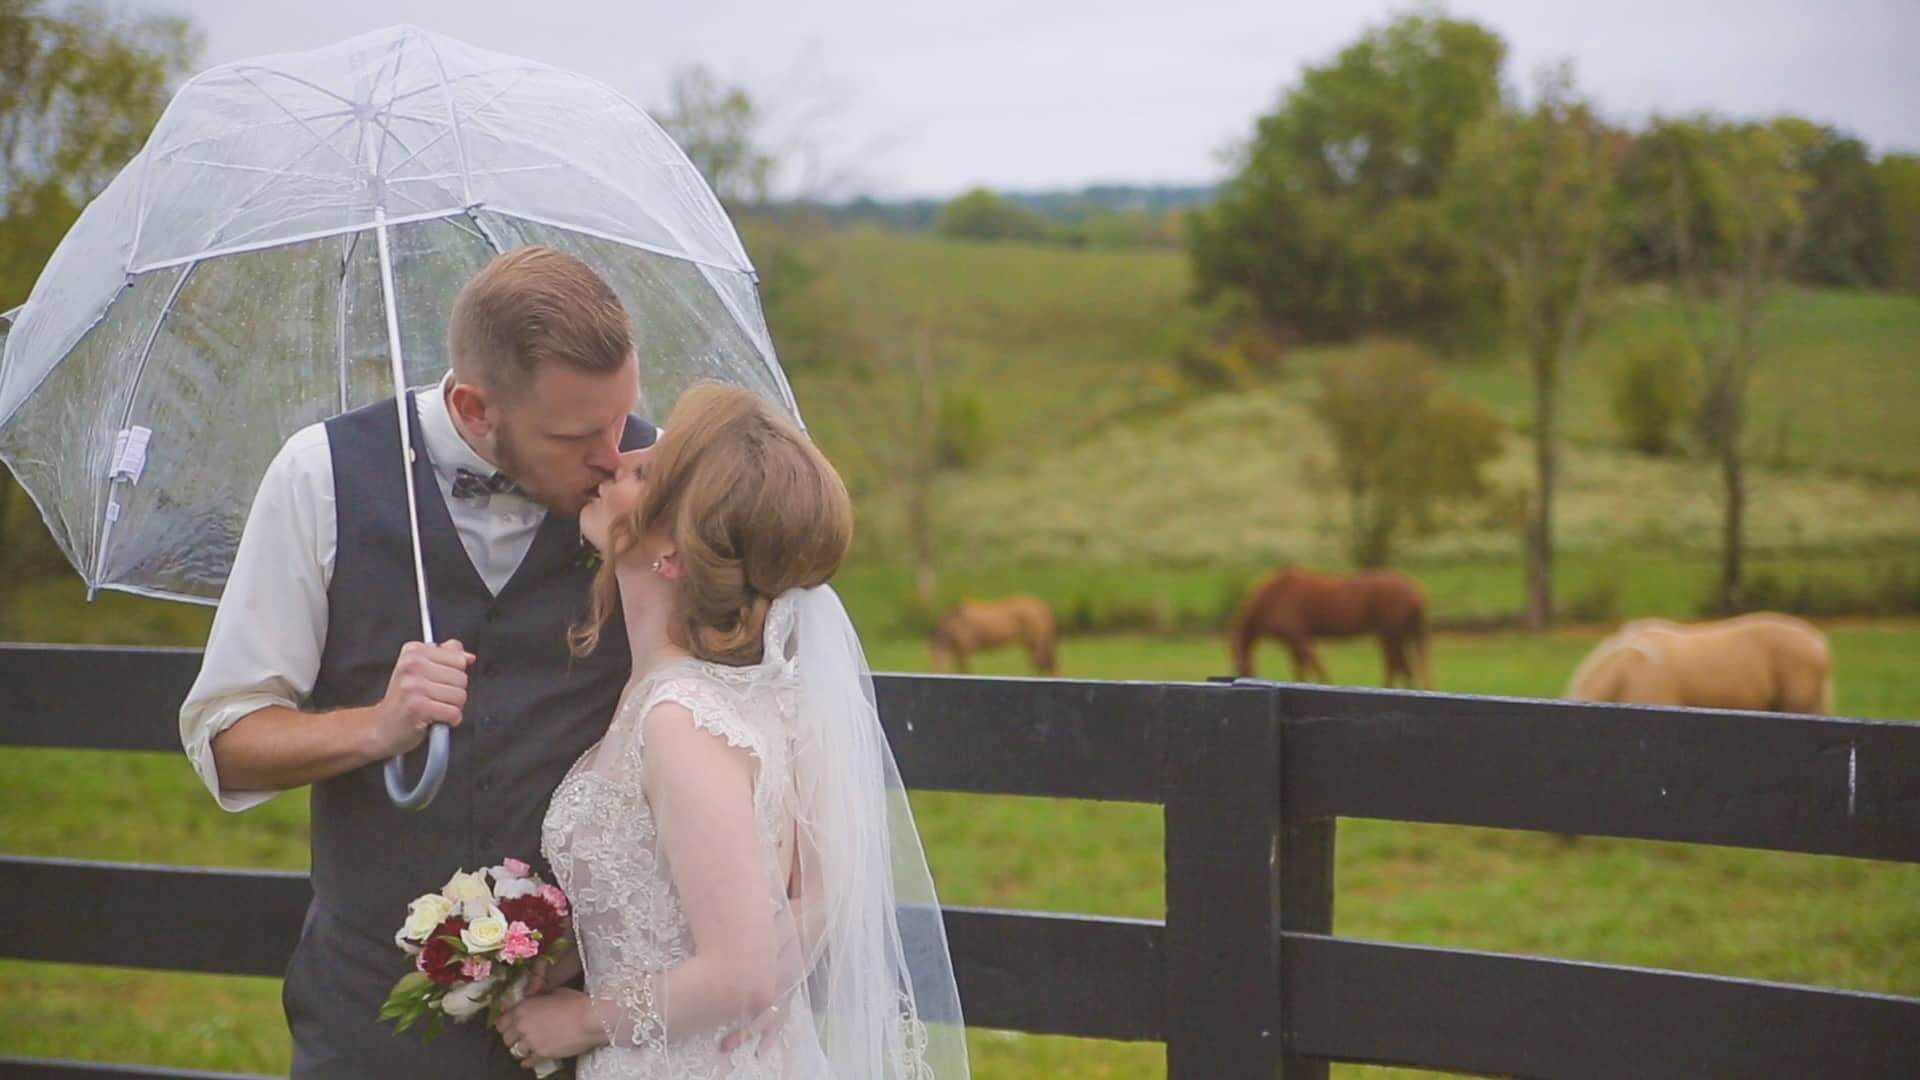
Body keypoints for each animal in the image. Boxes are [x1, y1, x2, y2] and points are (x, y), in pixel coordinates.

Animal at [929, 588, 1067, 672]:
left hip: (1034, 642)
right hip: (1033, 643)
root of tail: (1039, 605)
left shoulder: (965, 651)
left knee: (1040, 663)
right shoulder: (959, 653)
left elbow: (966, 671)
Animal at [1228, 568, 1428, 684]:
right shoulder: (1292, 644)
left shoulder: (1299, 639)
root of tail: (1414, 591)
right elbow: (1300, 670)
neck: (1274, 597)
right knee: (1402, 667)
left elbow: (1316, 666)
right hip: (1396, 637)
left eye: (1242, 670)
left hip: (1390, 636)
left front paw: (1328, 683)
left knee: (1396, 666)